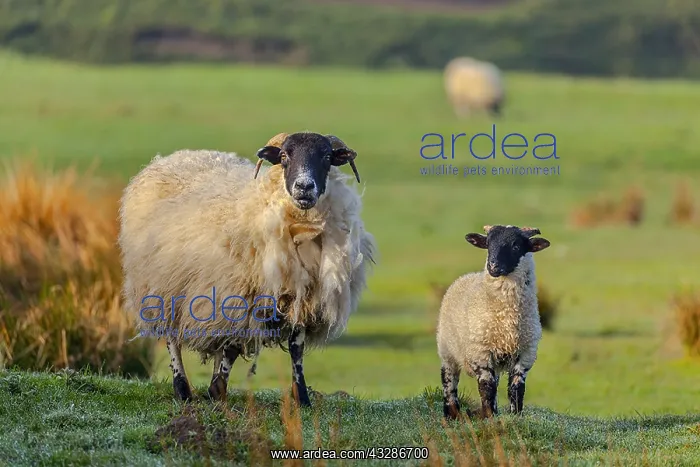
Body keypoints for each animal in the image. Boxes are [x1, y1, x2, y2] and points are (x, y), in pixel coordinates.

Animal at [118, 131, 376, 407]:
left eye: (327, 157)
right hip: (165, 285)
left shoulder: (301, 298)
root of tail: (177, 155)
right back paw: (183, 389)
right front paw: (217, 392)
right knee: (172, 338)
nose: (304, 187)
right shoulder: (241, 297)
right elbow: (232, 347)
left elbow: (296, 348)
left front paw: (302, 398)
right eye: (284, 156)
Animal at [436, 225, 550, 419]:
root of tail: (465, 276)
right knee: (449, 382)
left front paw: (515, 416)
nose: (493, 266)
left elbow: (516, 388)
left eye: (516, 245)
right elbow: (486, 387)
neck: (507, 318)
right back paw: (451, 414)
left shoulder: (525, 353)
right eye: (488, 244)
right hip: (447, 350)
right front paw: (489, 417)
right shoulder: (481, 352)